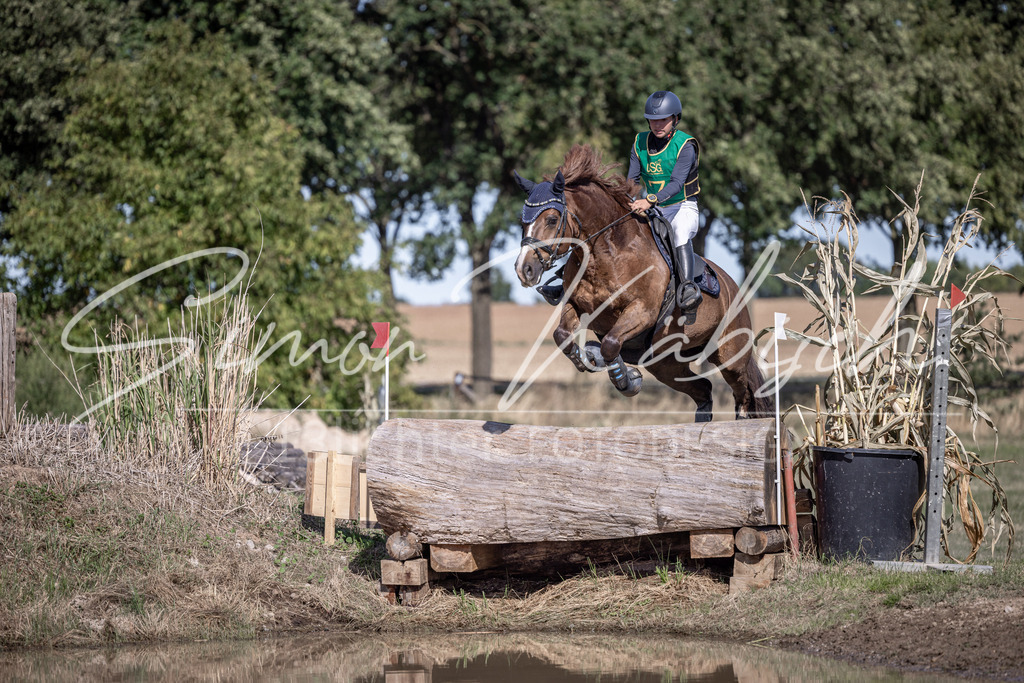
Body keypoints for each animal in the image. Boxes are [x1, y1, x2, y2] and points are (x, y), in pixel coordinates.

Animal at [512, 144, 772, 421]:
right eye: (522, 222)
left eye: (551, 220)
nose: (524, 269)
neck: (604, 255)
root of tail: (734, 288)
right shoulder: (579, 305)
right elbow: (563, 335)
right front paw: (588, 358)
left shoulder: (642, 312)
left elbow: (610, 344)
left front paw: (626, 380)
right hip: (664, 364)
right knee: (704, 389)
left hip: (730, 354)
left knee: (743, 392)